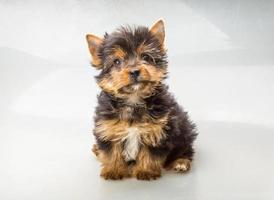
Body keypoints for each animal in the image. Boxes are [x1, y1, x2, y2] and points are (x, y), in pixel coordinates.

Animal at [85, 19, 197, 180]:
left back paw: (181, 162)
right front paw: (113, 170)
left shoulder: (158, 129)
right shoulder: (108, 126)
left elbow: (150, 151)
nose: (134, 71)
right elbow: (112, 150)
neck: (133, 98)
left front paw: (146, 171)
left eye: (145, 57)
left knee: (186, 148)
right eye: (117, 62)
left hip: (184, 128)